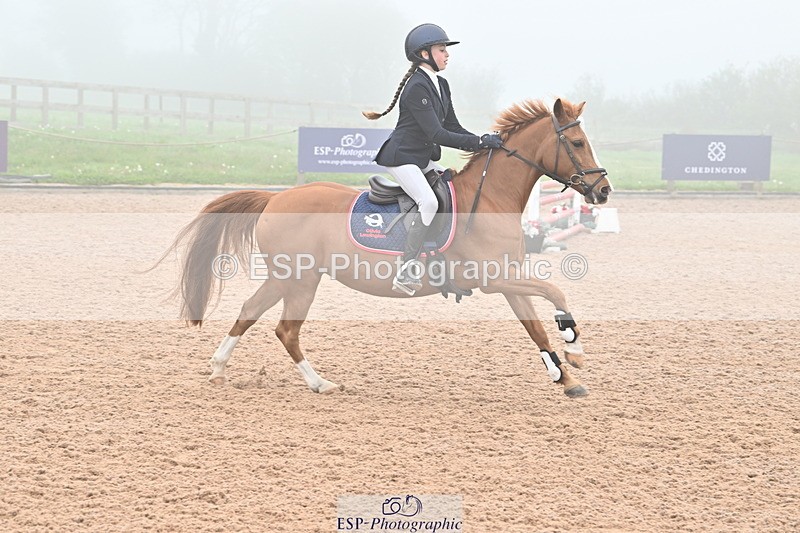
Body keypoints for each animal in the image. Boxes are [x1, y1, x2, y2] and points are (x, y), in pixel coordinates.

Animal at [160, 98, 612, 398]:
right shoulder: (494, 279)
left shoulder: (508, 281)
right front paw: (575, 350)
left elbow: (535, 326)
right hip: (301, 280)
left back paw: (219, 369)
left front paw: (566, 378)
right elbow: (555, 291)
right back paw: (320, 383)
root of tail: (275, 198)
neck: (490, 198)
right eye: (577, 142)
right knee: (286, 329)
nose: (603, 191)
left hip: (285, 277)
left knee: (250, 311)